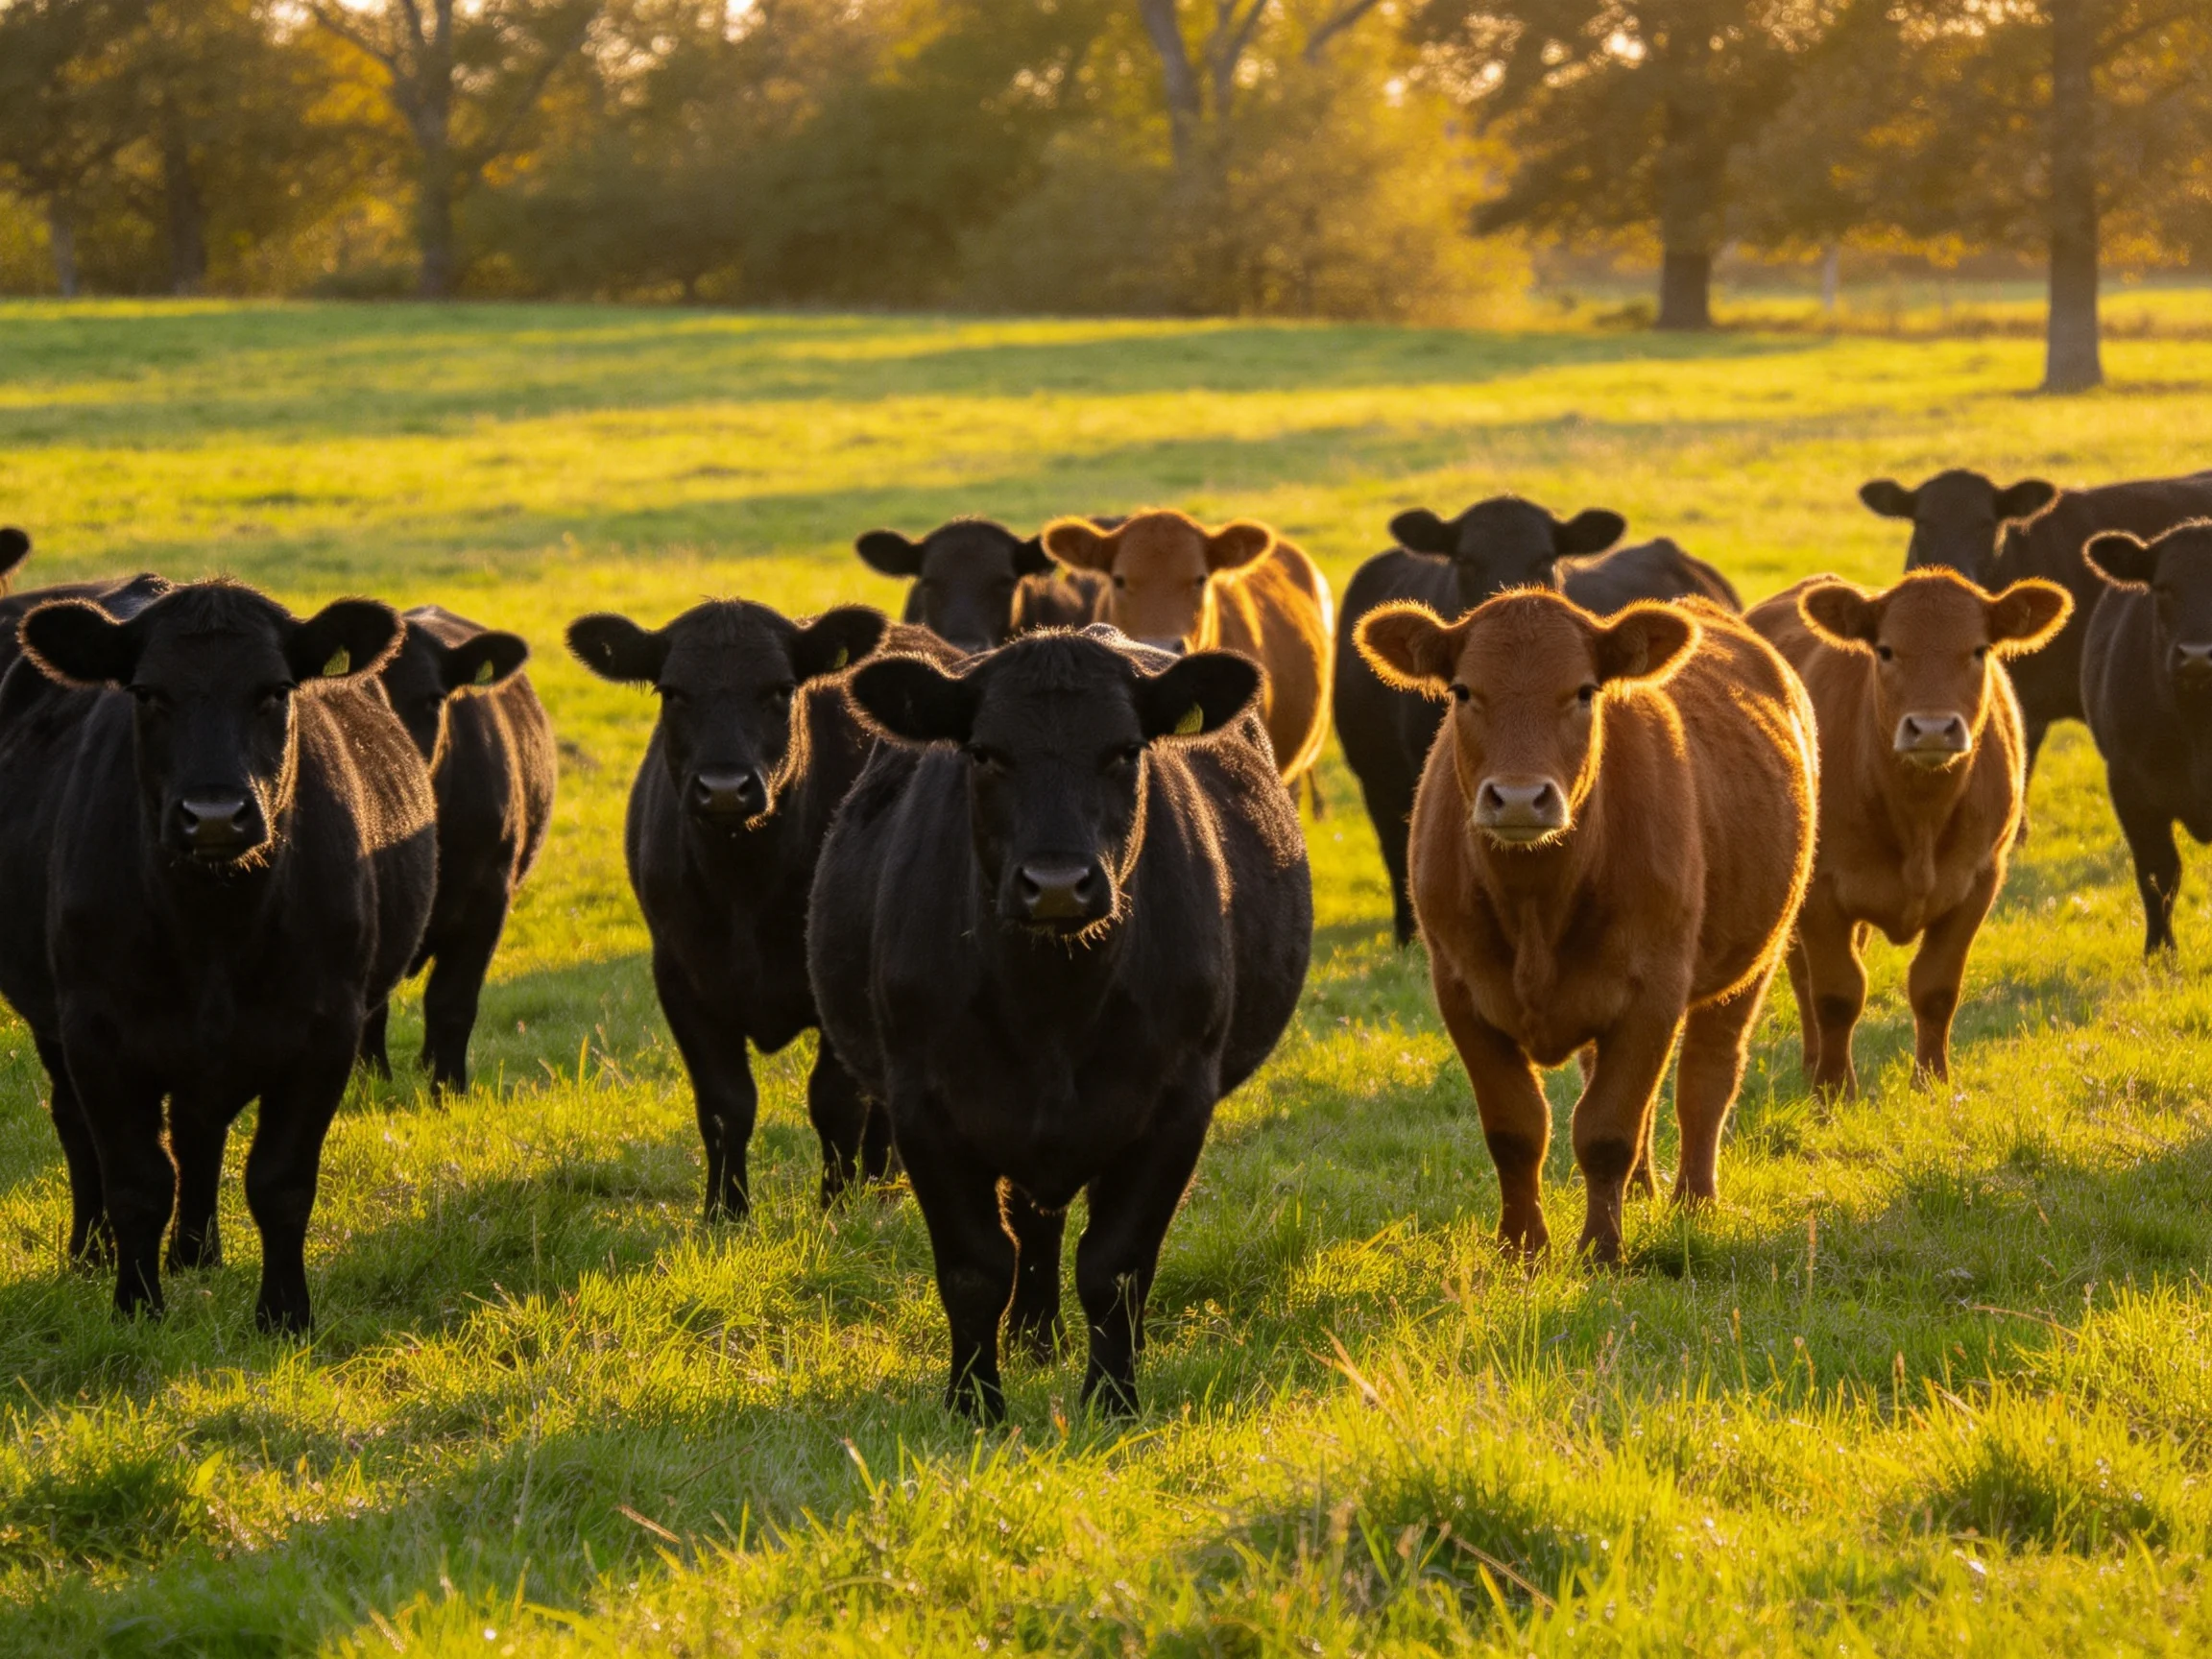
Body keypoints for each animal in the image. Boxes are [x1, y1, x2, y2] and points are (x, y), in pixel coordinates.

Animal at [0, 581, 435, 1332]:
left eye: (275, 691)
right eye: (147, 693)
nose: (212, 815)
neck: (213, 927)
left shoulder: (328, 1030)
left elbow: (281, 1180)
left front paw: (284, 1315)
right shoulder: (95, 1031)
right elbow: (136, 1180)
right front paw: (135, 1306)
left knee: (197, 1130)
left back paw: (197, 1254)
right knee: (78, 1125)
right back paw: (91, 1254)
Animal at [567, 598, 907, 1220]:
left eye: (780, 689)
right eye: (672, 692)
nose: (724, 788)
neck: (747, 879)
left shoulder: (836, 977)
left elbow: (835, 1102)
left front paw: (836, 1207)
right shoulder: (681, 977)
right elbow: (726, 1105)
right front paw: (725, 1212)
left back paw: (881, 1183)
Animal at [810, 627, 1312, 1420]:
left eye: (1126, 751)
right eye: (985, 752)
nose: (1054, 885)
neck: (1052, 1006)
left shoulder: (1175, 1105)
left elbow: (1116, 1267)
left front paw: (1112, 1403)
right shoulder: (924, 1103)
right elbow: (976, 1268)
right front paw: (974, 1405)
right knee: (1030, 1222)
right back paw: (1032, 1338)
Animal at [1356, 591, 1815, 1263]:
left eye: (1583, 691)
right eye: (1464, 690)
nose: (1519, 799)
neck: (1535, 906)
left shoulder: (1653, 991)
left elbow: (1606, 1130)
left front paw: (1601, 1249)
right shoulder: (1459, 989)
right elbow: (1517, 1128)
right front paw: (1521, 1247)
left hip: (1754, 960)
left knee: (1705, 1078)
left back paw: (1693, 1202)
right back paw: (1646, 1190)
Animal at [1747, 570, 2071, 1095]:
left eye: (1979, 649)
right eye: (1885, 650)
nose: (1933, 729)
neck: (1919, 815)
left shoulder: (1980, 879)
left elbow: (1935, 988)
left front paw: (1931, 1083)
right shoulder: (1821, 889)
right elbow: (1836, 992)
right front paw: (1834, 1091)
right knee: (1803, 976)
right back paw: (1813, 1064)